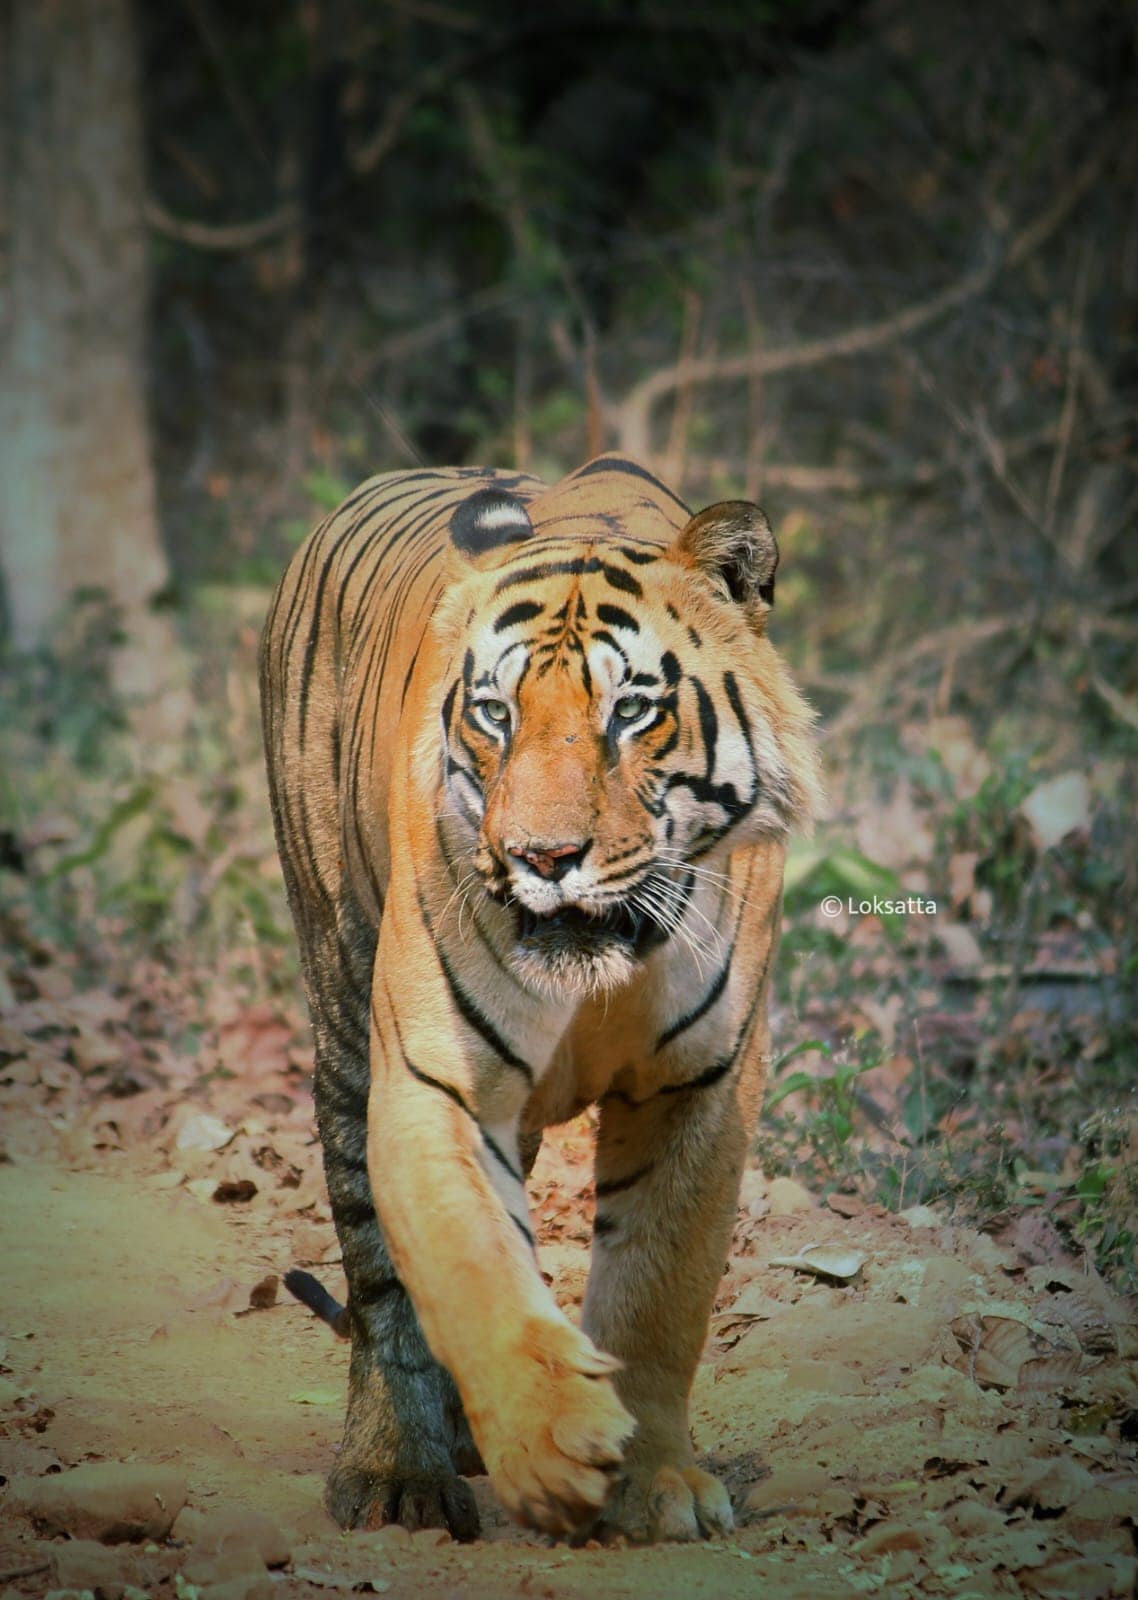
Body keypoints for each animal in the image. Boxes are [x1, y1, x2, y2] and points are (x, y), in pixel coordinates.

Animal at [262, 448, 825, 1536]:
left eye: (631, 711)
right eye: (496, 713)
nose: (542, 856)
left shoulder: (703, 1087)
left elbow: (659, 1290)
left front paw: (653, 1479)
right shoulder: (434, 1080)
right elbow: (469, 1263)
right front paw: (554, 1445)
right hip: (344, 1005)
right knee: (380, 1272)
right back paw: (399, 1467)